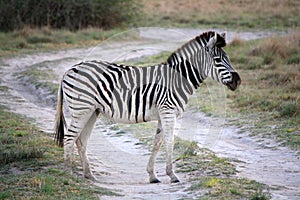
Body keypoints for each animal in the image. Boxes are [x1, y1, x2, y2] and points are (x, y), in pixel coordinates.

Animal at [53, 30, 241, 183]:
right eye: (218, 60)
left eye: (228, 58)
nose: (237, 81)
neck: (177, 80)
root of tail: (70, 69)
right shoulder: (168, 111)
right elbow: (170, 142)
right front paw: (172, 175)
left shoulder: (162, 114)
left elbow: (157, 143)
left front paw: (153, 175)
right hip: (81, 109)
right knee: (69, 138)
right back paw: (69, 174)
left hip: (92, 111)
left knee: (81, 140)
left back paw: (89, 175)